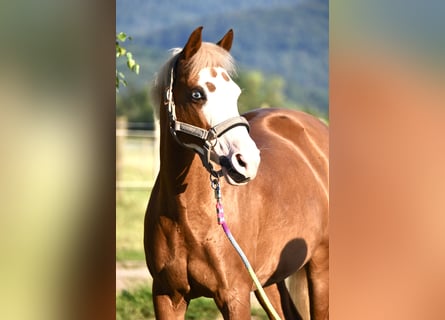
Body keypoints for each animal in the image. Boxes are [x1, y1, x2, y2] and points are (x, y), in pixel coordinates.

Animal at [144, 27, 328, 320]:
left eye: (236, 93)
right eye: (197, 94)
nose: (248, 161)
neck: (187, 216)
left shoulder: (234, 296)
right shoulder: (167, 296)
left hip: (320, 267)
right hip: (269, 281)